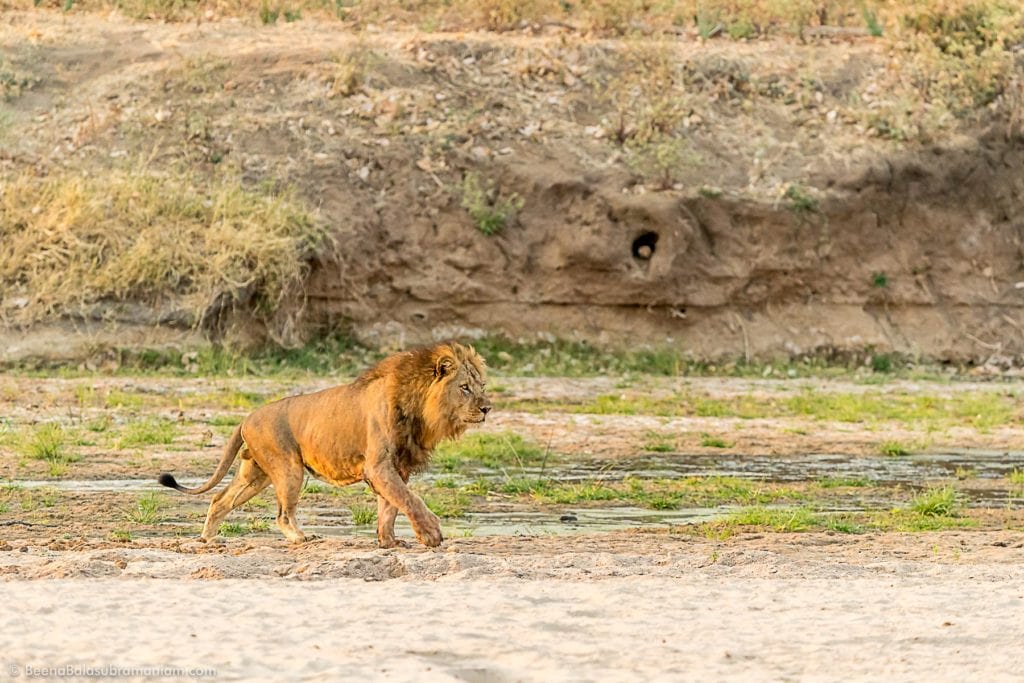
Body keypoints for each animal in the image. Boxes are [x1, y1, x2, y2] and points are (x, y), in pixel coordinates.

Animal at [158, 342, 491, 548]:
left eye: (482, 386)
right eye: (464, 388)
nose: (488, 407)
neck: (421, 410)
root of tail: (246, 418)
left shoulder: (397, 466)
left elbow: (390, 506)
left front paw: (389, 542)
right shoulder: (379, 465)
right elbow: (409, 499)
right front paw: (431, 534)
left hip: (255, 475)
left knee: (220, 500)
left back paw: (207, 540)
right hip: (288, 468)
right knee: (282, 514)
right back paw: (301, 538)